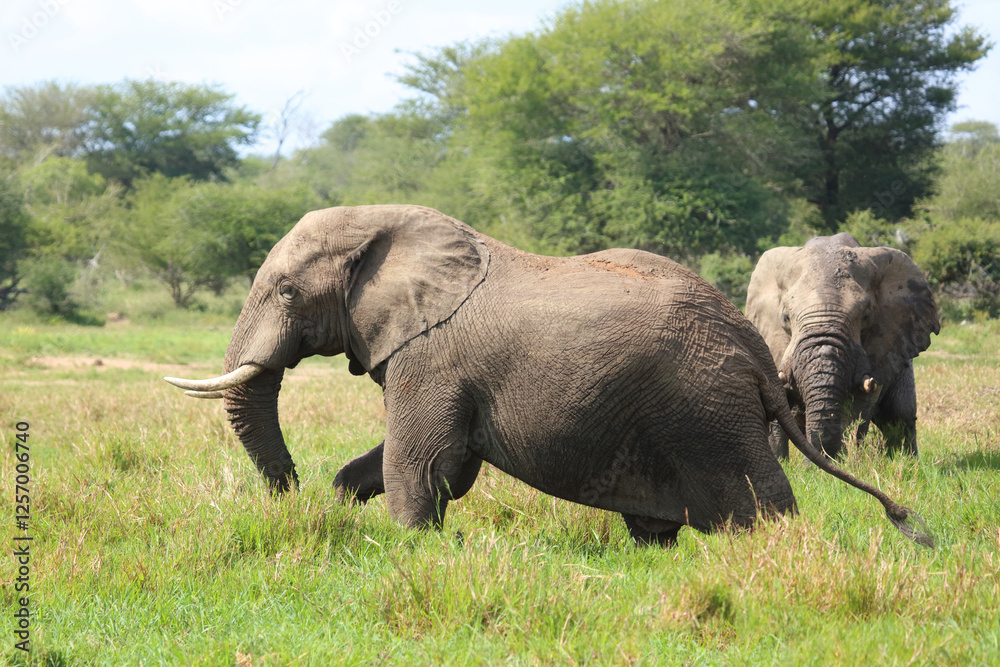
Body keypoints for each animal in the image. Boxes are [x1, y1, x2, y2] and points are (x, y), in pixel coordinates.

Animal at [745, 232, 940, 459]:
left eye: (866, 316)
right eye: (785, 317)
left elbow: (857, 407)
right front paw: (782, 462)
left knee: (900, 414)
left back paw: (906, 461)